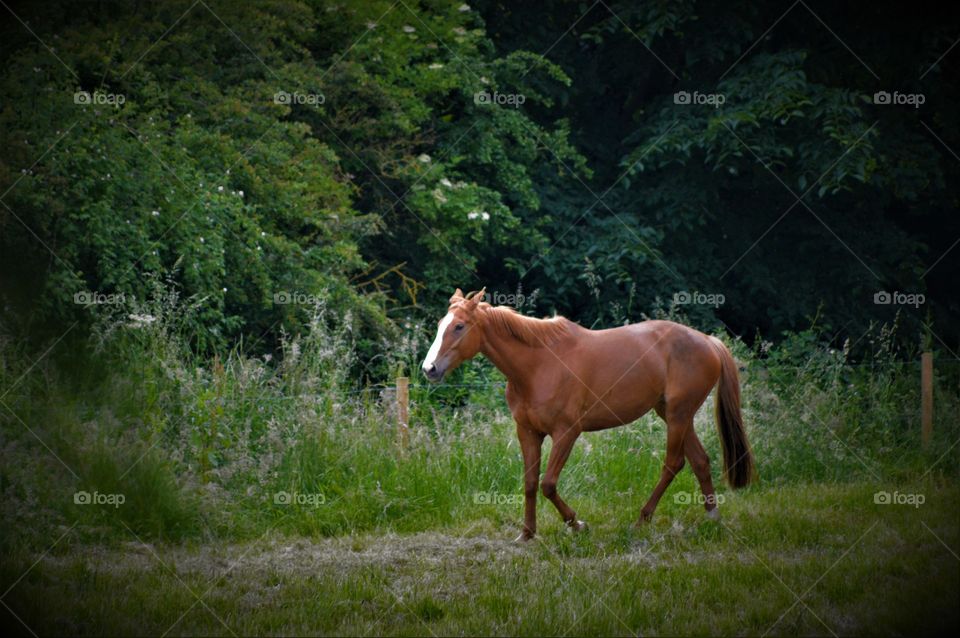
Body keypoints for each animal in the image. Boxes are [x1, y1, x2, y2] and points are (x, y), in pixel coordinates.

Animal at [424, 288, 752, 544]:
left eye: (459, 326)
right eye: (441, 324)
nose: (429, 369)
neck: (538, 365)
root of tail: (708, 341)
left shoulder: (566, 433)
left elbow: (548, 484)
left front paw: (577, 525)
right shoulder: (527, 432)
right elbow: (530, 483)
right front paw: (527, 534)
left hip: (678, 415)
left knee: (673, 463)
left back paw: (642, 520)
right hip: (674, 415)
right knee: (699, 460)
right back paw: (712, 517)